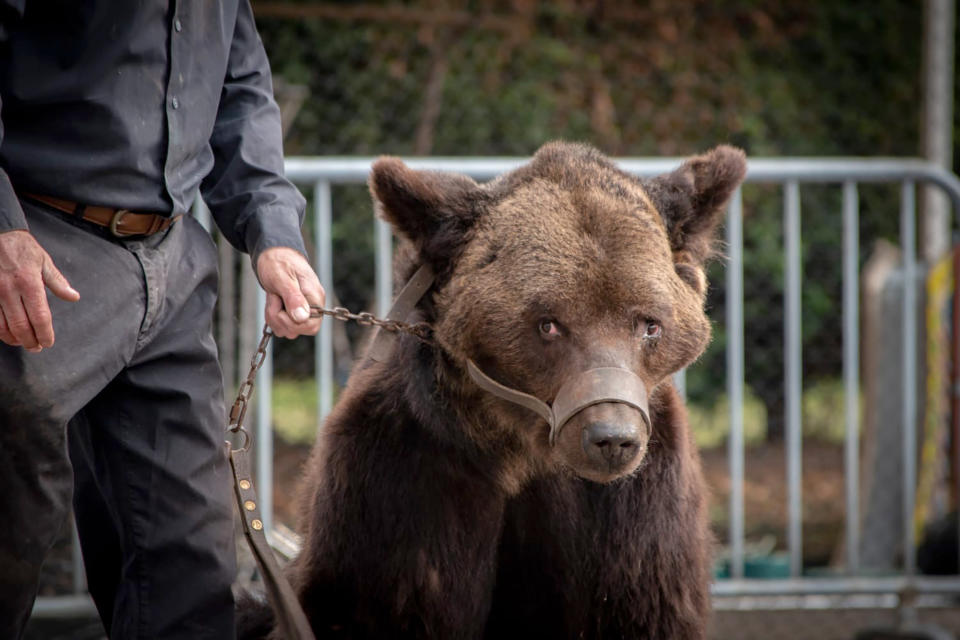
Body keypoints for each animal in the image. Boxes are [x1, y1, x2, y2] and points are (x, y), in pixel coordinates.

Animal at [236, 142, 748, 636]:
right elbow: (388, 601)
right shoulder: (408, 475)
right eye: (549, 323)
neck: (522, 451)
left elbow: (638, 604)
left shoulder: (635, 507)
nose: (612, 438)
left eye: (649, 324)